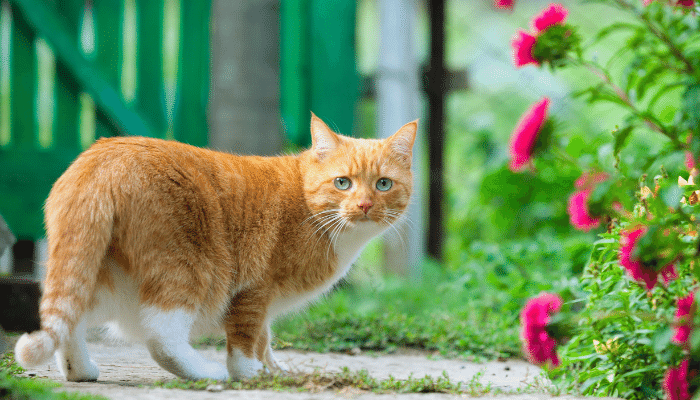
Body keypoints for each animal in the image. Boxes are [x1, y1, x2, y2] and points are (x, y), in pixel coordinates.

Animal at [13, 114, 416, 382]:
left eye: (383, 184)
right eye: (342, 182)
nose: (364, 205)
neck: (308, 206)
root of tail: (100, 159)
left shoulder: (264, 303)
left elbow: (265, 338)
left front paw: (273, 369)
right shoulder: (255, 289)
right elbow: (246, 338)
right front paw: (249, 373)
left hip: (96, 272)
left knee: (69, 320)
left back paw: (79, 371)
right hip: (187, 268)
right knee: (161, 336)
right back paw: (206, 373)